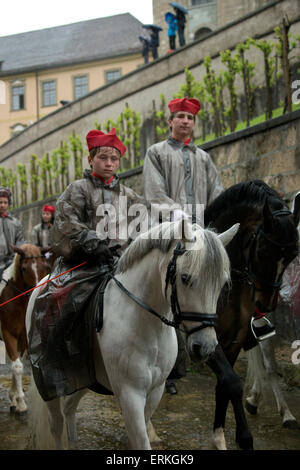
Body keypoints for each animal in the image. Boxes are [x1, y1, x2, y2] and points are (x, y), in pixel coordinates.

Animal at [0, 244, 48, 414]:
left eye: (45, 266)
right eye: (24, 269)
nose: (37, 292)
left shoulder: (23, 339)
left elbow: (17, 365)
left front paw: (14, 398)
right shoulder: (8, 334)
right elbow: (17, 367)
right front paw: (20, 401)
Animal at [25, 218, 239, 450]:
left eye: (222, 283)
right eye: (185, 278)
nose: (205, 347)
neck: (147, 325)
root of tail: (41, 284)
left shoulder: (155, 391)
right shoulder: (130, 395)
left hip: (85, 377)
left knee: (69, 408)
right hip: (52, 385)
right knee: (56, 423)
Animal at [205, 179, 298, 448]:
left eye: (293, 256)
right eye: (264, 251)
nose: (266, 304)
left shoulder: (235, 340)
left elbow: (224, 385)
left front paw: (220, 436)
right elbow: (232, 383)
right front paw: (244, 437)